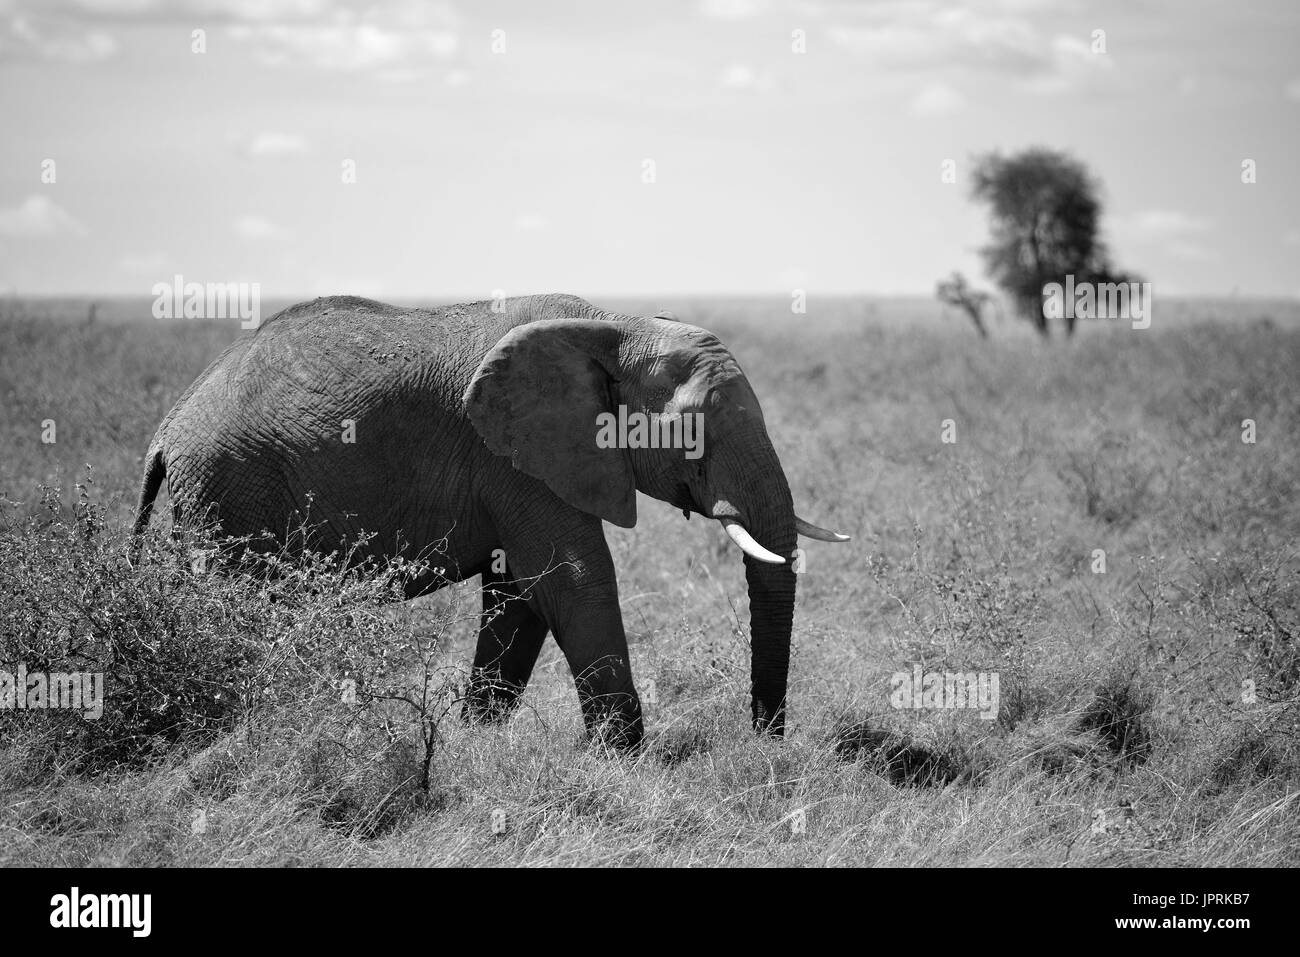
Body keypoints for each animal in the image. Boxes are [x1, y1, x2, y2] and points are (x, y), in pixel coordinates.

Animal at [129, 291, 842, 748]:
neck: (612, 325)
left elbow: (519, 594)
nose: (765, 740)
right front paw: (627, 759)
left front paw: (476, 741)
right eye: (695, 435)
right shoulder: (512, 457)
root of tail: (165, 430)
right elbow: (572, 578)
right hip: (229, 490)